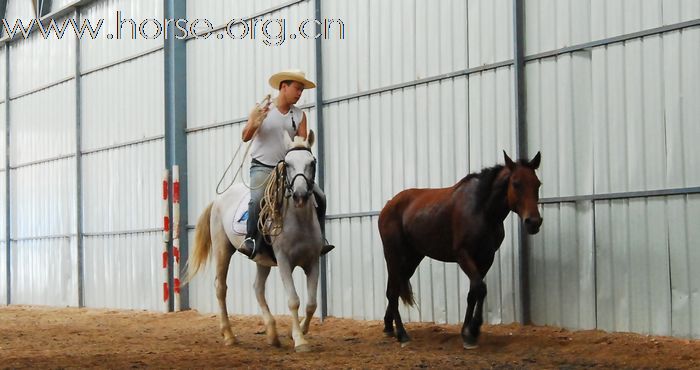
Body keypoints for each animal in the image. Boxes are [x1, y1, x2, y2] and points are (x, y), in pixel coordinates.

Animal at [186, 131, 322, 352]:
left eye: (312, 162)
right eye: (288, 164)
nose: (300, 195)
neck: (299, 221)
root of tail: (218, 200)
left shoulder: (313, 261)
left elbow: (311, 304)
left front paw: (299, 331)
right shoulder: (284, 261)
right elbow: (294, 300)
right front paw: (300, 340)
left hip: (261, 259)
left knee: (257, 288)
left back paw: (272, 334)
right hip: (223, 249)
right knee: (221, 287)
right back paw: (229, 335)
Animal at [380, 150, 544, 350]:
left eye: (537, 184)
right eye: (516, 183)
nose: (534, 222)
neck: (481, 209)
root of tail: (388, 205)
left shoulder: (486, 258)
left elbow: (473, 292)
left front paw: (467, 332)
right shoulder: (463, 255)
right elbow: (480, 288)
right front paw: (472, 331)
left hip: (412, 258)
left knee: (392, 290)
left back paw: (389, 328)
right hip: (394, 256)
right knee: (393, 291)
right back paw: (402, 334)